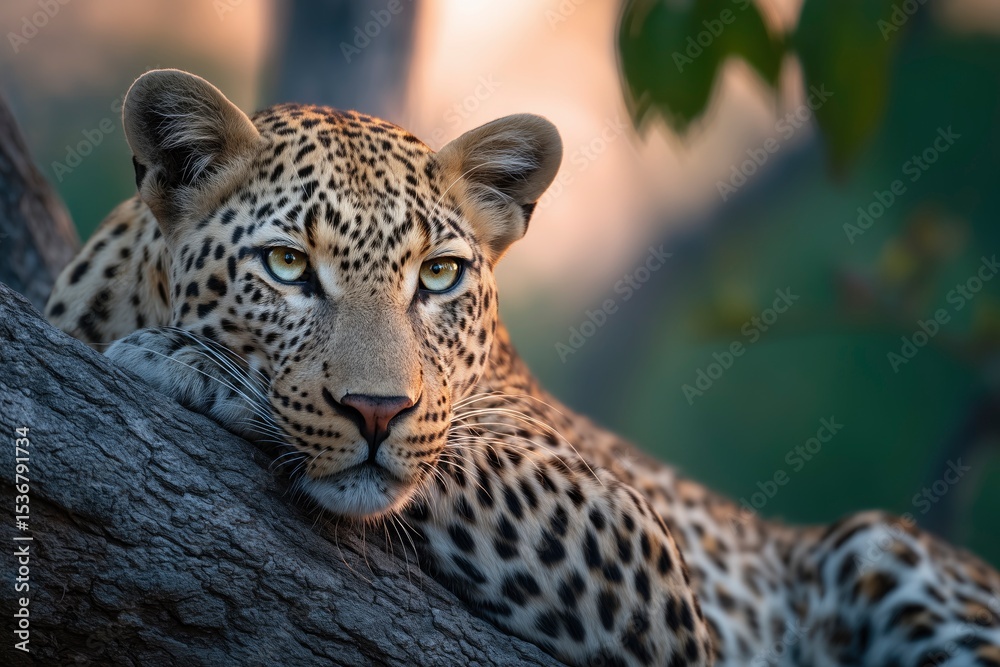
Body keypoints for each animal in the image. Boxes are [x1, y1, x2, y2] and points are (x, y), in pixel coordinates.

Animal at [46, 69, 1000, 666]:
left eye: (439, 275)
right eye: (286, 266)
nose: (376, 411)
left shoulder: (630, 531)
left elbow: (451, 458)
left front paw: (183, 362)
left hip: (877, 546)